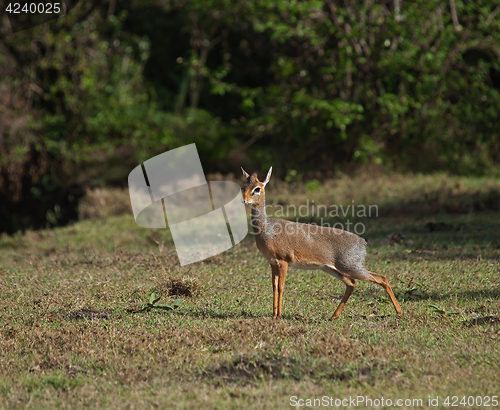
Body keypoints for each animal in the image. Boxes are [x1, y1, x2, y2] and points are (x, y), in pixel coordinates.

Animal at [239, 167, 402, 320]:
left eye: (257, 188)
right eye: (243, 187)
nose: (244, 201)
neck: (267, 229)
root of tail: (363, 242)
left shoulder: (283, 261)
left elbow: (280, 287)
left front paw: (278, 315)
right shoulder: (272, 262)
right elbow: (273, 287)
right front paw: (274, 315)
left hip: (351, 267)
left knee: (381, 278)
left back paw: (399, 312)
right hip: (332, 268)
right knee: (352, 283)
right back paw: (334, 315)